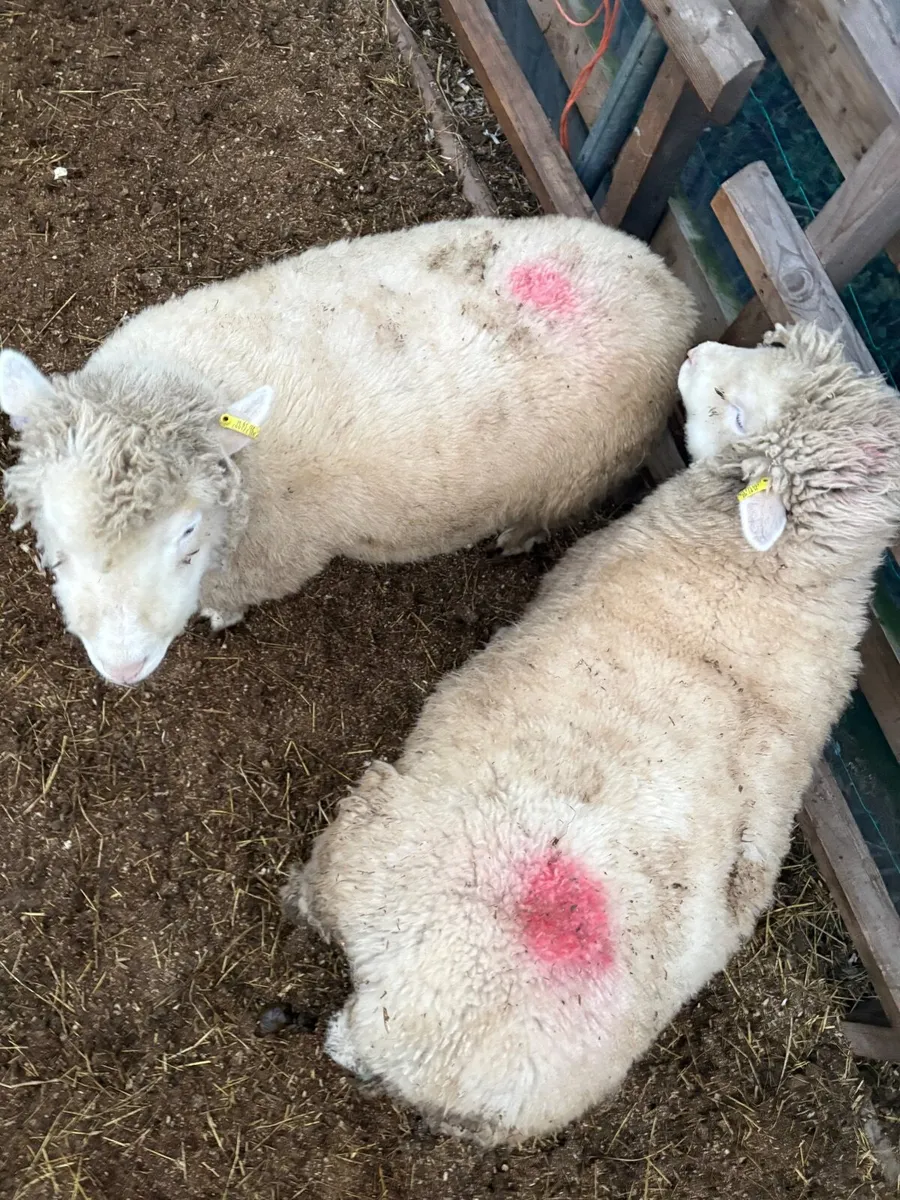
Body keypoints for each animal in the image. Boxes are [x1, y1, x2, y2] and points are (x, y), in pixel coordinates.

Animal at [0, 215, 696, 686]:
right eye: (53, 534)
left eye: (188, 532)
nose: (123, 666)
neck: (190, 377)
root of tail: (671, 286)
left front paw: (220, 617)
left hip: (581, 472)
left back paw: (513, 538)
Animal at [283, 322, 900, 1147]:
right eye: (767, 353)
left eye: (739, 411)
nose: (696, 354)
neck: (774, 583)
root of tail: (414, 1029)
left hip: (369, 832)